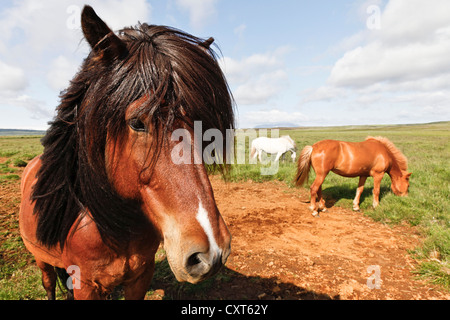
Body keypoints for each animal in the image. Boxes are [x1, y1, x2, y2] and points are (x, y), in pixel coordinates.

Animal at [19, 5, 234, 300]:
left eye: (205, 126)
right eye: (137, 123)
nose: (211, 253)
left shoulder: (140, 277)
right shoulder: (85, 283)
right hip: (41, 259)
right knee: (49, 283)